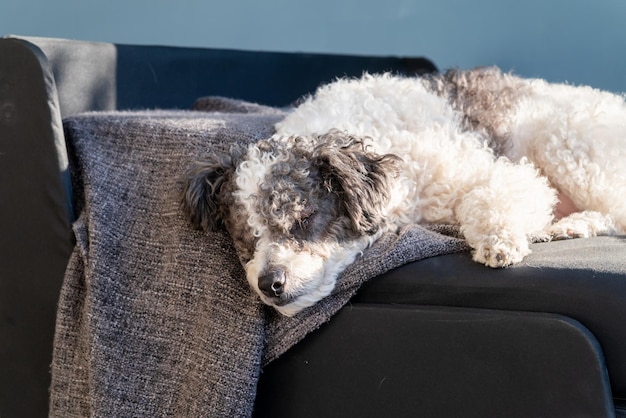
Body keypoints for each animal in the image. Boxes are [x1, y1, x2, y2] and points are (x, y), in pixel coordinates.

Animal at [182, 68, 624, 316]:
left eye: (303, 217)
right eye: (245, 239)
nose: (269, 283)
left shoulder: (505, 173)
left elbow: (487, 198)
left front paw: (498, 240)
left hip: (565, 141)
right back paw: (569, 226)